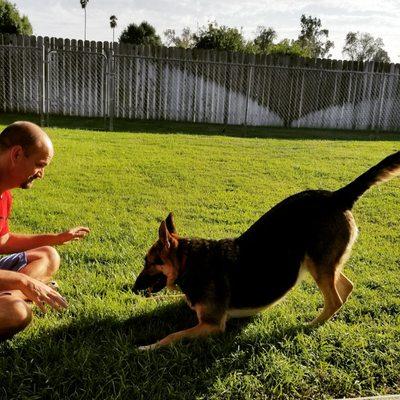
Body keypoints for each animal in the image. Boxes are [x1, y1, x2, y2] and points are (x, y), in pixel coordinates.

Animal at [134, 153, 400, 350]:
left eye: (149, 261)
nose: (134, 289)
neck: (190, 262)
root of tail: (337, 196)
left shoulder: (212, 325)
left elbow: (172, 336)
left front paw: (148, 346)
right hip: (324, 264)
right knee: (345, 288)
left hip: (318, 265)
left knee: (334, 299)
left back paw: (311, 325)